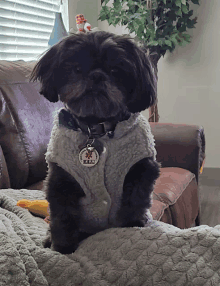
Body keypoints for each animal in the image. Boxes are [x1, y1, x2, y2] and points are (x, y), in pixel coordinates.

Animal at [30, 31, 160, 255]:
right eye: (77, 68)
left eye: (115, 70)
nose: (97, 75)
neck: (96, 129)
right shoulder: (61, 179)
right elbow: (62, 216)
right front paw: (62, 247)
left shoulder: (142, 167)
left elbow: (136, 198)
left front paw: (133, 224)